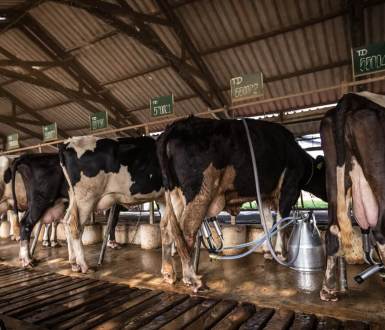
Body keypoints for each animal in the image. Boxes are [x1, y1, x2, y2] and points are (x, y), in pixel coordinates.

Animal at [58, 135, 164, 272]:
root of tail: (68, 142)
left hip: (74, 197)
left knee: (66, 221)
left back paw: (74, 263)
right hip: (86, 198)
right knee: (74, 226)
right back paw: (84, 265)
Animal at [155, 116, 324, 292]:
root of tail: (174, 126)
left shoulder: (263, 194)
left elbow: (267, 221)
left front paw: (268, 252)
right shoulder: (290, 186)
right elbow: (281, 221)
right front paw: (280, 253)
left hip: (174, 194)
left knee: (166, 227)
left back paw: (168, 273)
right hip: (200, 192)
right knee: (187, 229)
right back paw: (191, 278)